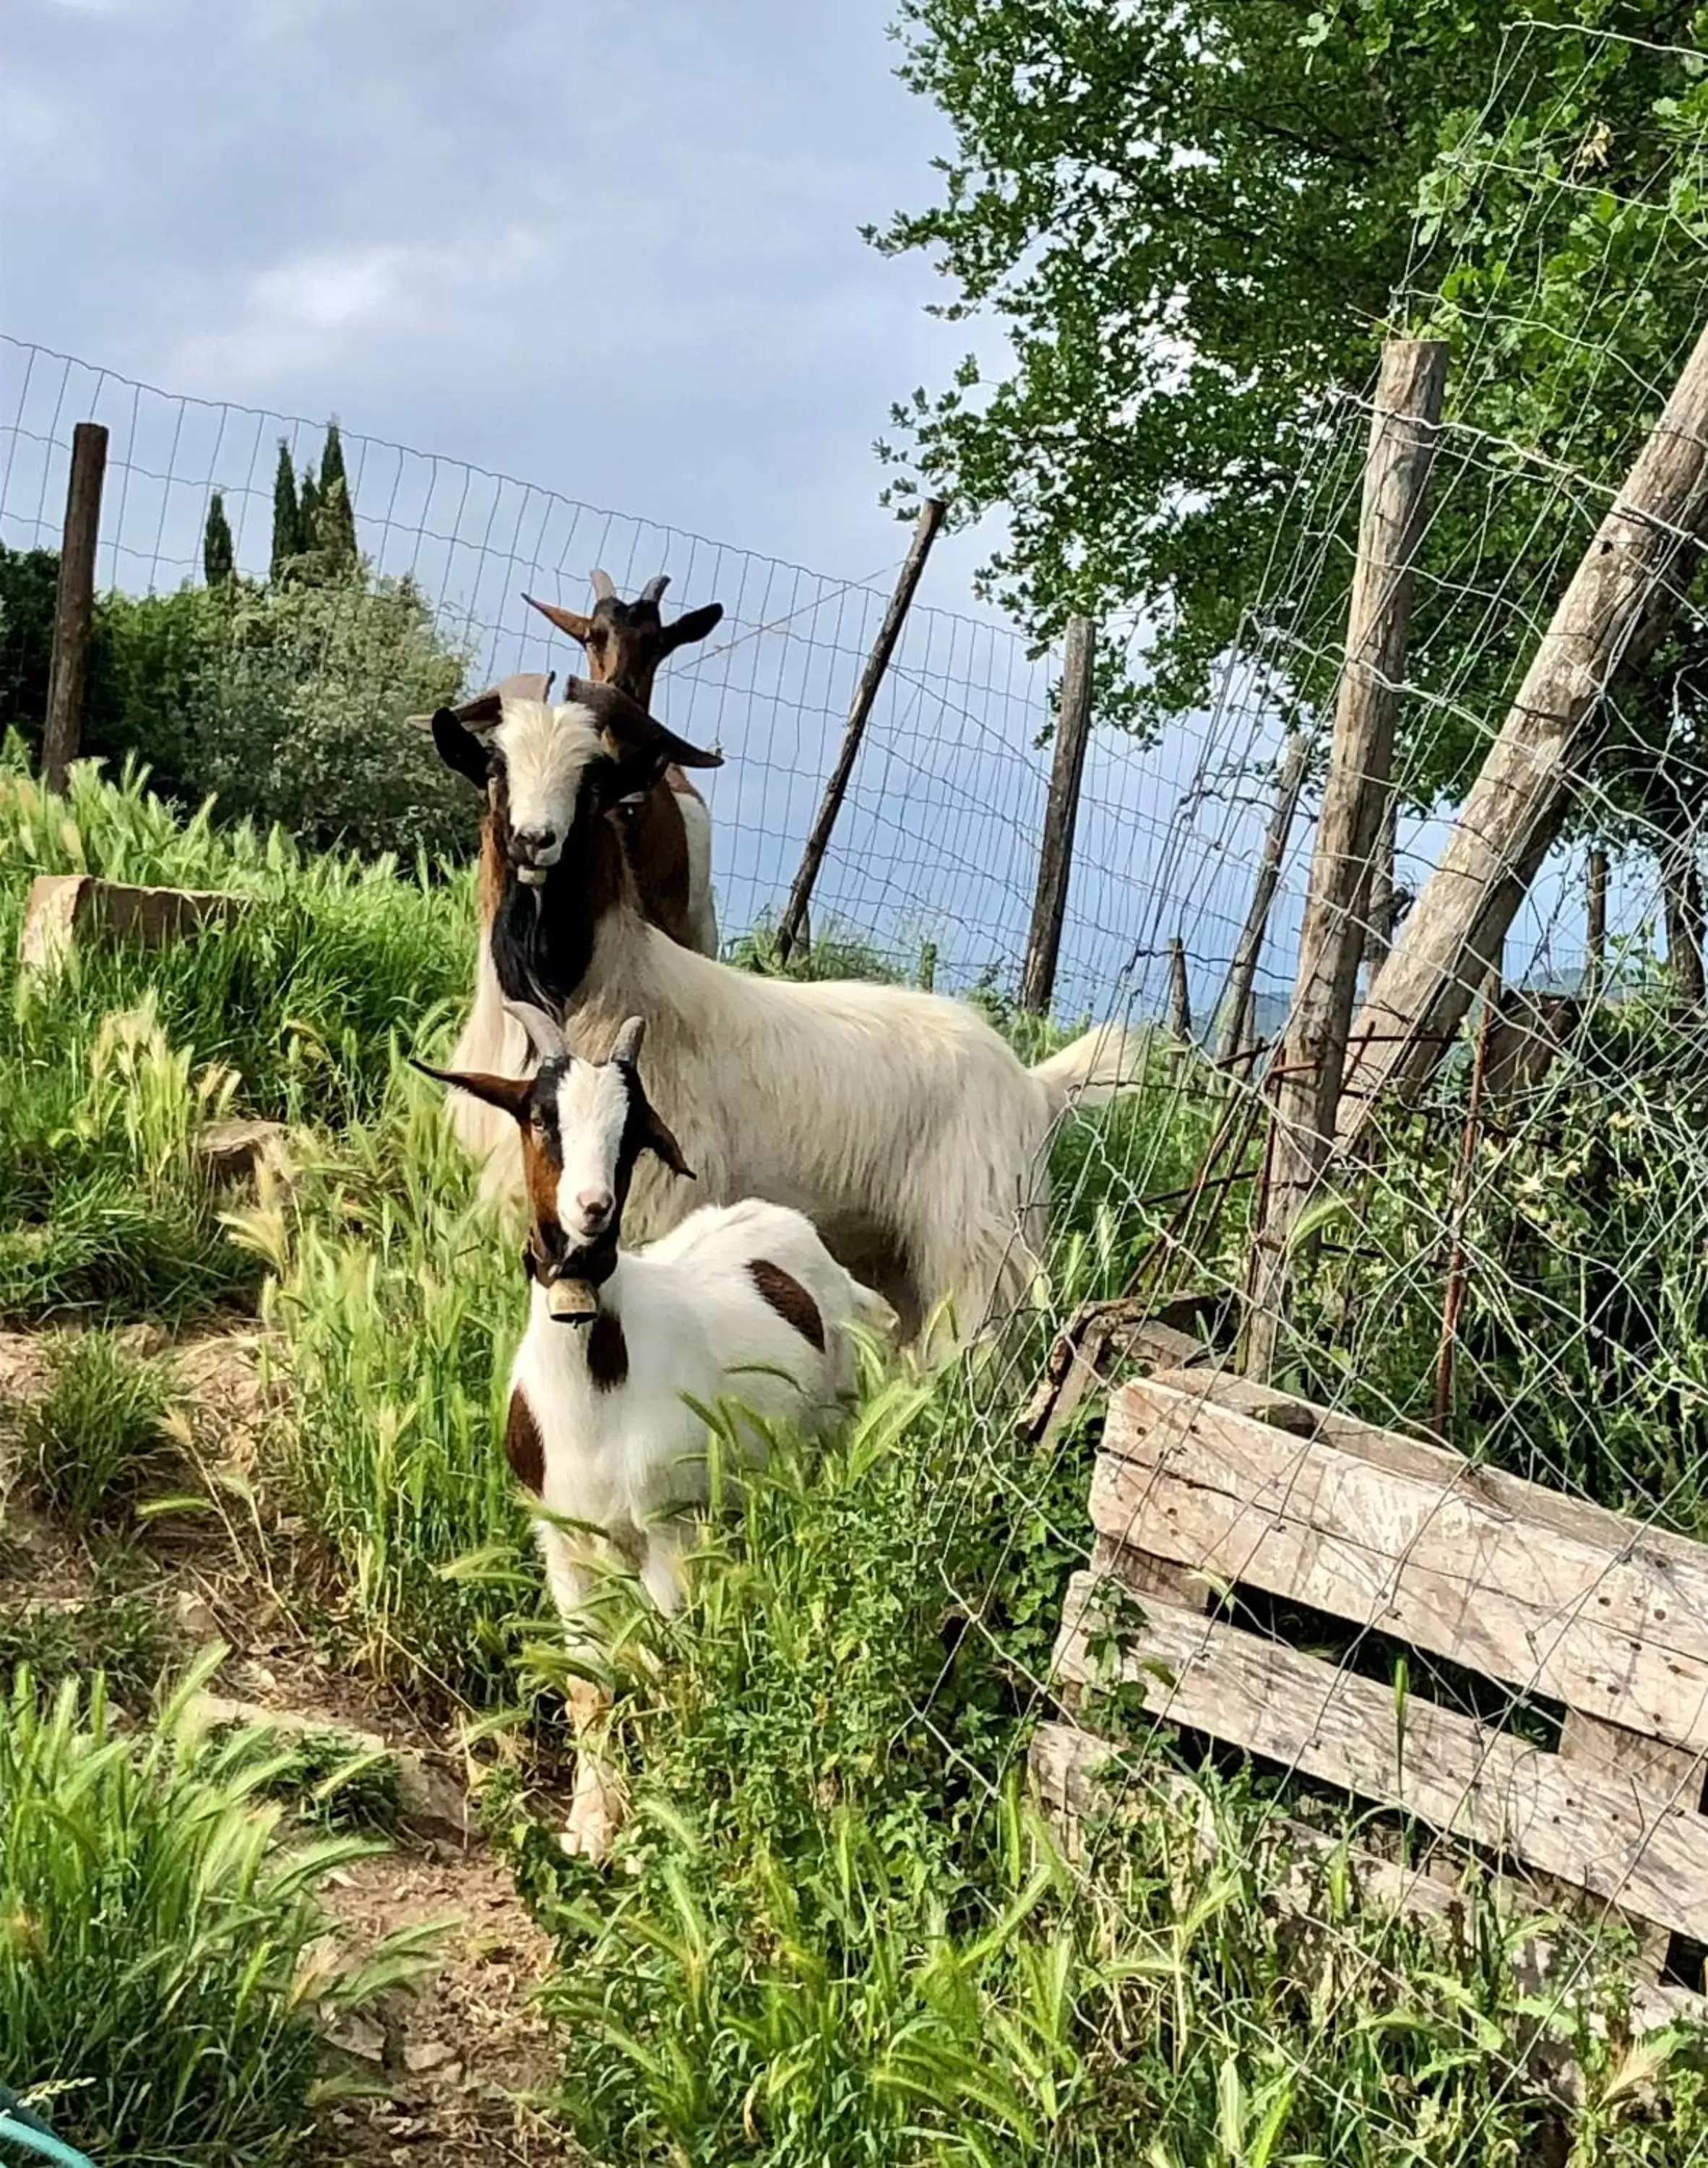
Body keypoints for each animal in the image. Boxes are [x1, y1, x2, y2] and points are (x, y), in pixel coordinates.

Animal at [416, 1002, 893, 1864]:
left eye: (634, 1131)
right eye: (540, 1116)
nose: (592, 1209)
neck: (594, 1395)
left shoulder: (668, 1533)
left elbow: (661, 1668)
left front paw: (658, 1825)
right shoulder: (563, 1542)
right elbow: (590, 1681)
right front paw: (590, 1826)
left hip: (822, 1449)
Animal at [434, 685, 1144, 1353]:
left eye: (593, 779)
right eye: (495, 767)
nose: (534, 841)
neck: (586, 988)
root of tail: (1035, 1084)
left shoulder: (651, 1198)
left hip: (975, 1244)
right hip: (896, 1253)